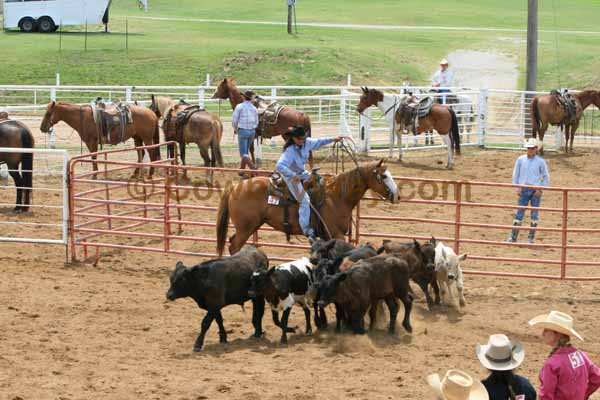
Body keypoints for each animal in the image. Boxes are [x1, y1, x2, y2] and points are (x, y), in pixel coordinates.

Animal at [216, 159, 398, 256]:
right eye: (383, 176)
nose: (397, 195)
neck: (337, 198)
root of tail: (235, 187)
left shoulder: (327, 237)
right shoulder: (336, 234)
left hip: (250, 226)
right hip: (245, 228)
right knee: (234, 246)